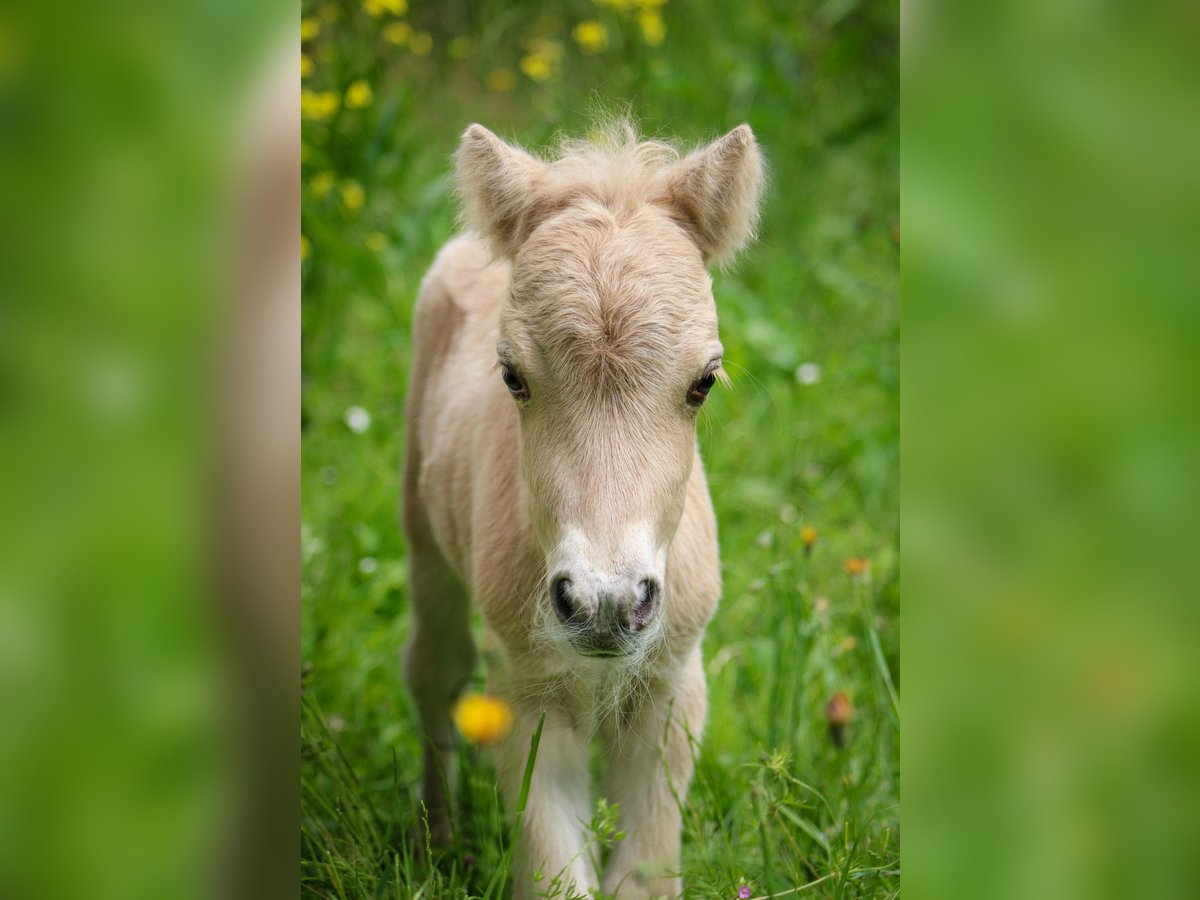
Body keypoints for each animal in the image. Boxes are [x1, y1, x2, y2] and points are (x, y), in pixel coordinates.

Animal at [403, 121, 758, 900]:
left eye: (704, 381)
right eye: (511, 376)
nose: (604, 602)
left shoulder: (672, 690)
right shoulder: (525, 695)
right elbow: (555, 875)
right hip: (423, 541)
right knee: (434, 671)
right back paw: (438, 842)